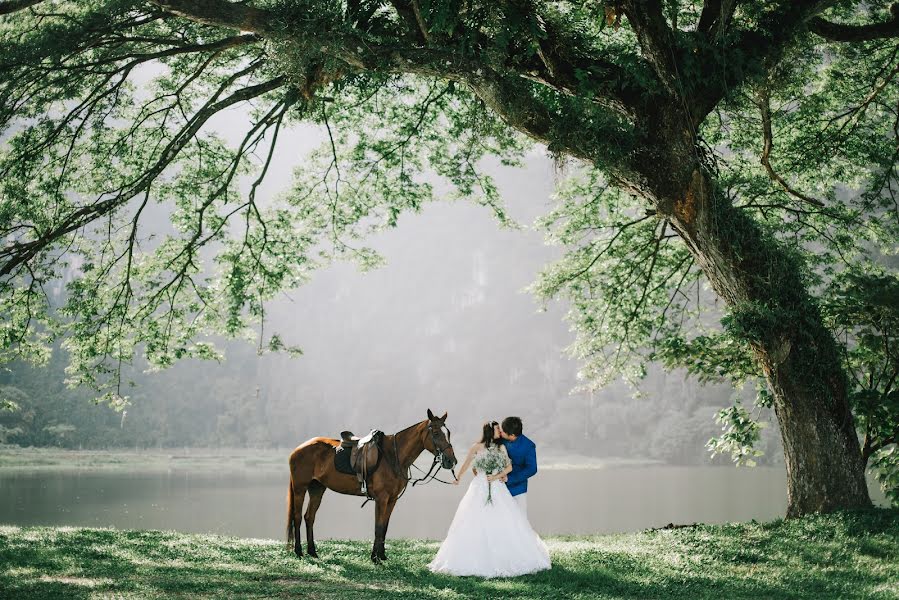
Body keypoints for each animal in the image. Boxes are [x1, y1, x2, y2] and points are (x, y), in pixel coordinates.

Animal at [288, 408, 458, 564]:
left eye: (448, 433)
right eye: (435, 433)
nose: (451, 461)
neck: (393, 456)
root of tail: (298, 449)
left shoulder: (392, 500)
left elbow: (384, 527)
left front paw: (382, 555)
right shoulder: (381, 499)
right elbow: (378, 527)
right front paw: (374, 558)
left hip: (317, 489)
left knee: (309, 517)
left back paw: (312, 552)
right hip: (300, 488)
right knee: (297, 517)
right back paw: (299, 551)